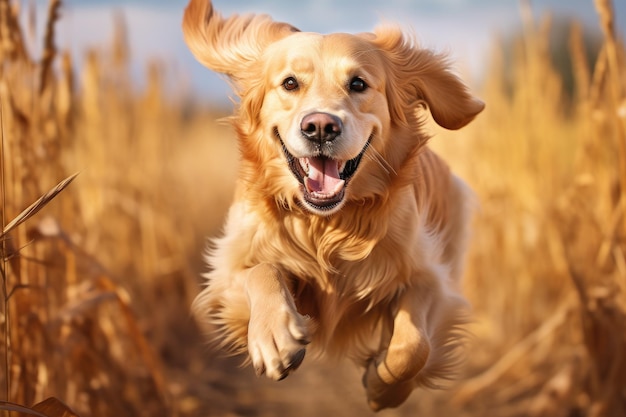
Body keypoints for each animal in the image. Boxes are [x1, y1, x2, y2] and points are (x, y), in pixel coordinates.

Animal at [180, 0, 482, 410]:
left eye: (358, 84)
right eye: (290, 83)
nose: (320, 127)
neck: (326, 225)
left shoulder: (431, 277)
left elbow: (415, 345)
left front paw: (383, 385)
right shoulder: (226, 270)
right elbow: (261, 269)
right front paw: (274, 336)